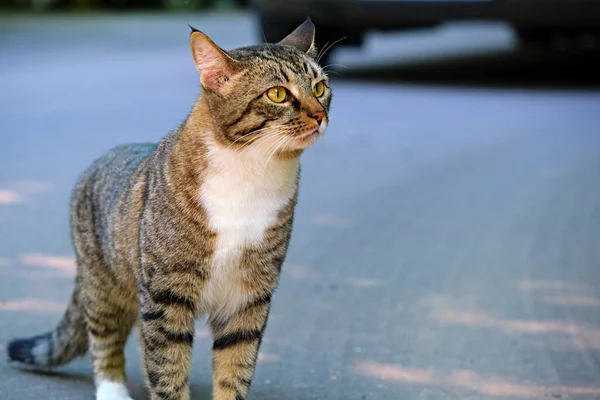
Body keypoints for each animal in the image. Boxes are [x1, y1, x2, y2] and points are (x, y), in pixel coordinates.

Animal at [5, 19, 332, 400]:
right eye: (278, 94)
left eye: (320, 87)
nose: (320, 115)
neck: (251, 173)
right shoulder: (165, 296)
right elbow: (167, 369)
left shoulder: (249, 296)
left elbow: (235, 367)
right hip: (104, 283)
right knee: (104, 336)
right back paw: (113, 389)